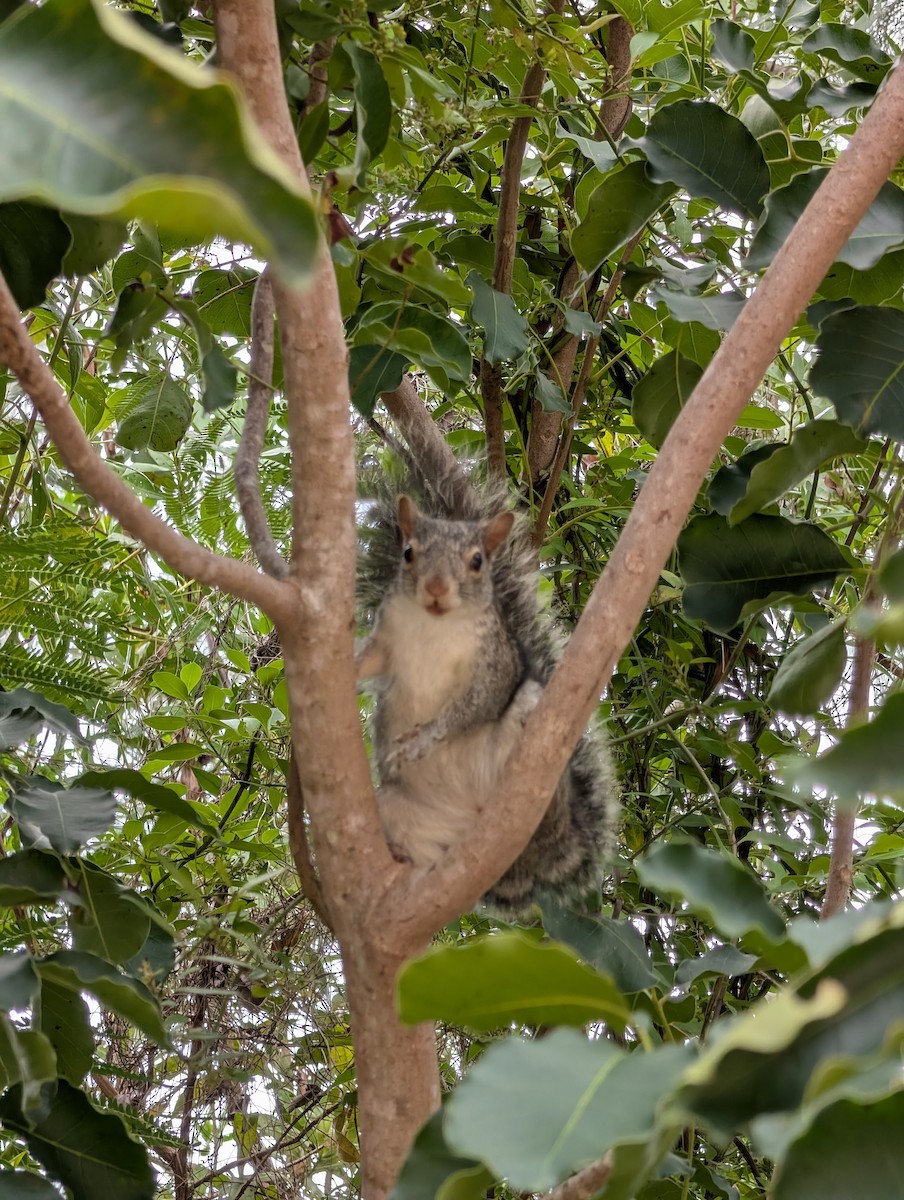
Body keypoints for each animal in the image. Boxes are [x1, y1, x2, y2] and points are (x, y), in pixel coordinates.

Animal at [355, 477, 618, 916]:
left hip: (535, 743)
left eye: (477, 561)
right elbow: (369, 661)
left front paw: (424, 738)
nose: (436, 588)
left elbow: (478, 702)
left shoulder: (495, 664)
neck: (434, 624)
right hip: (396, 811)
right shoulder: (387, 637)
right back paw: (401, 853)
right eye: (409, 553)